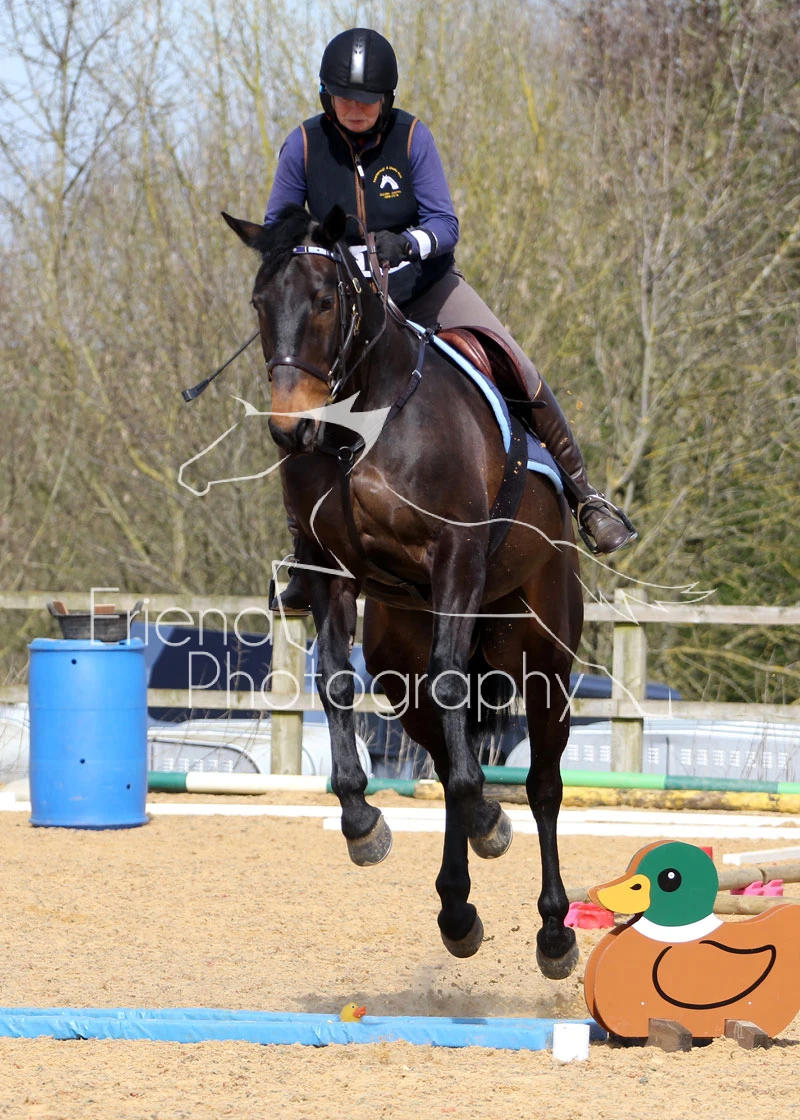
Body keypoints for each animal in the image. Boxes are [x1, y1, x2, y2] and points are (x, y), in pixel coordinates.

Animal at [221, 204, 584, 979]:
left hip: (544, 656)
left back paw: (554, 931)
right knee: (446, 761)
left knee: (542, 785)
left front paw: (483, 820)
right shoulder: (329, 572)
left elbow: (454, 696)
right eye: (260, 305)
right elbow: (334, 680)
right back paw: (458, 907)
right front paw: (362, 822)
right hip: (398, 662)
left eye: (324, 301)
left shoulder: (456, 559)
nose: (291, 430)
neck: (360, 424)